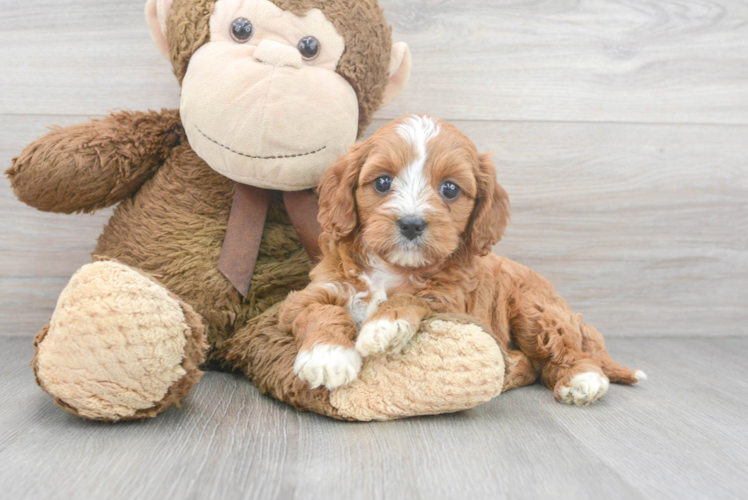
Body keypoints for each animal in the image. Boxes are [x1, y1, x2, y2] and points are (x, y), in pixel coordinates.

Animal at [278, 115, 644, 404]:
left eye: (450, 189)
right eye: (382, 182)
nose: (411, 223)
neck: (393, 268)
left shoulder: (450, 303)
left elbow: (412, 298)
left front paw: (383, 325)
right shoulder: (313, 293)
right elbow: (322, 311)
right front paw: (328, 357)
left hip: (534, 310)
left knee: (564, 351)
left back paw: (582, 380)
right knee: (533, 364)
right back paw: (512, 368)